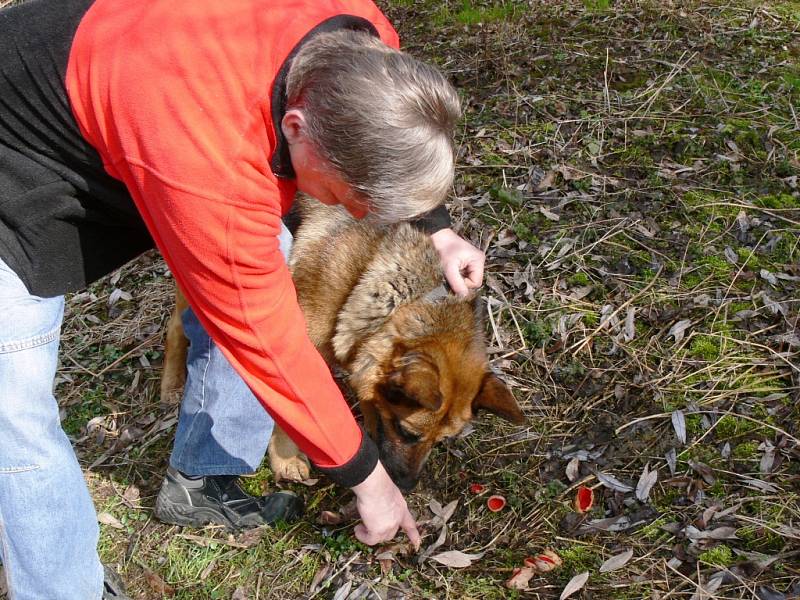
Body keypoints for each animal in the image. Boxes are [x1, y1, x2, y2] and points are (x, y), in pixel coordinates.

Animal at [162, 200, 524, 492]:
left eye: (442, 441)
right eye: (407, 433)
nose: (407, 487)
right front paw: (286, 458)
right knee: (175, 324)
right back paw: (171, 383)